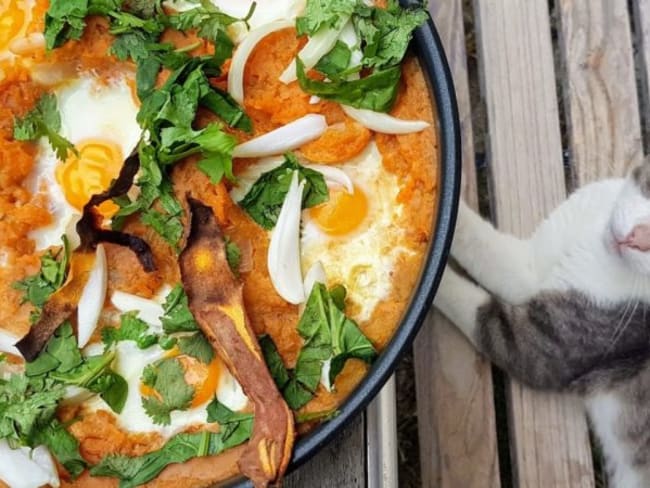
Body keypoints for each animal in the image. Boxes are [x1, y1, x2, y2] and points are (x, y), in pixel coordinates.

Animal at [432, 162, 650, 486]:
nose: (637, 238)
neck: (596, 240)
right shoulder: (532, 264)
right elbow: (477, 238)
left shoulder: (547, 344)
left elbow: (482, 316)